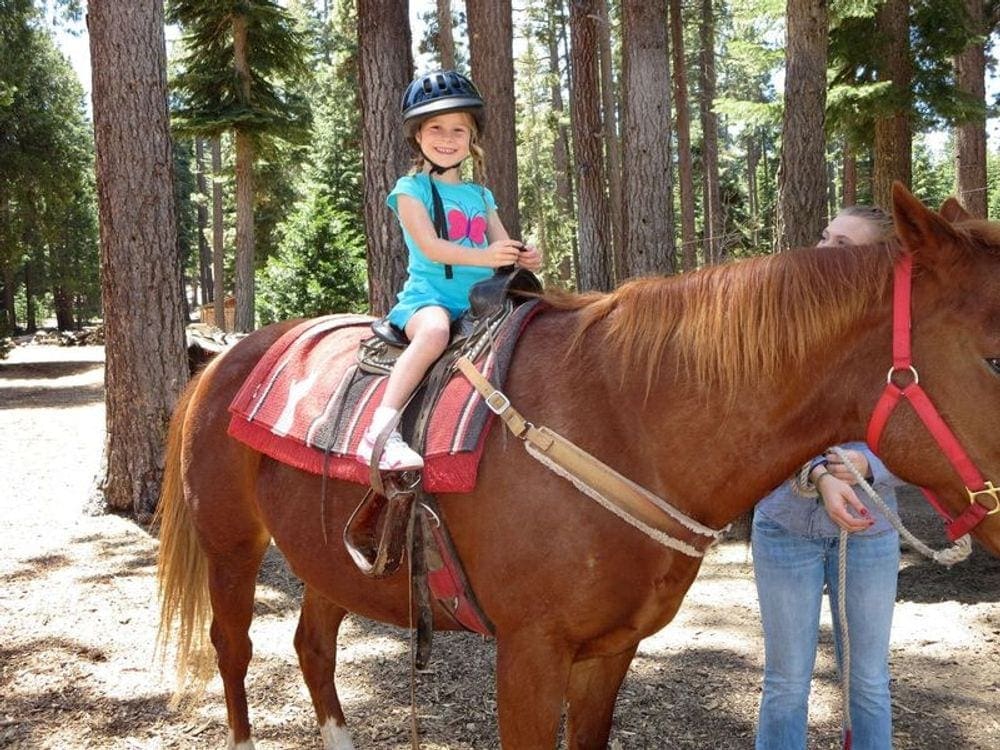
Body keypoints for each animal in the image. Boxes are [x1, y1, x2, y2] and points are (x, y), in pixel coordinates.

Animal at [158, 184, 1000, 750]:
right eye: (995, 356)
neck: (623, 421)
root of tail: (225, 357)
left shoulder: (610, 652)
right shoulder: (530, 655)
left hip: (334, 559)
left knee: (313, 646)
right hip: (232, 547)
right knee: (233, 648)